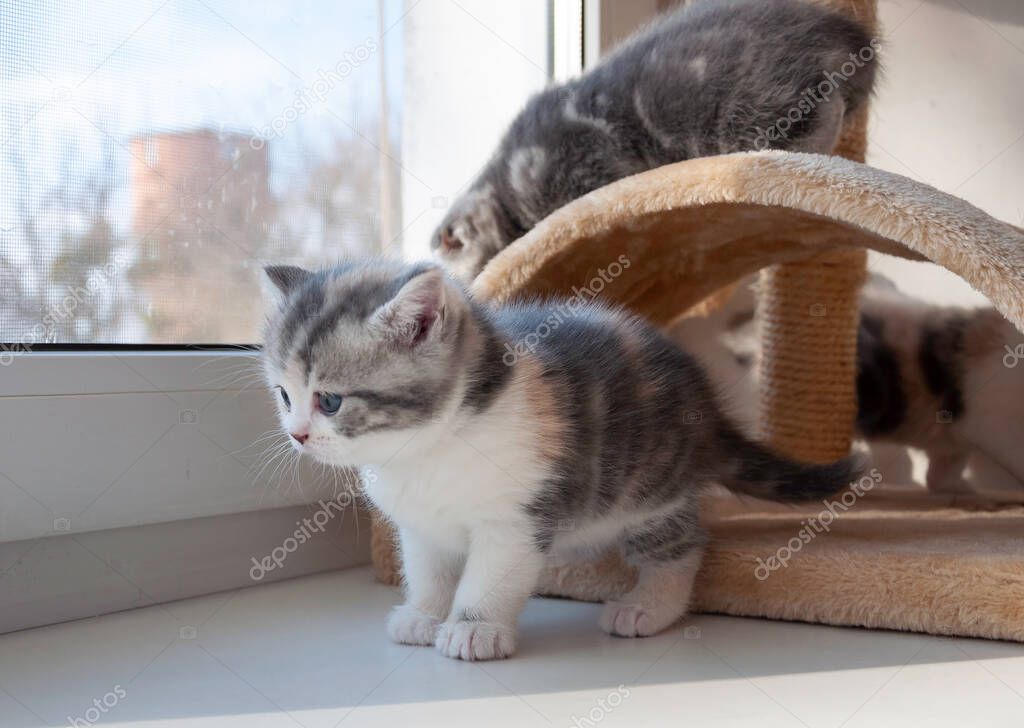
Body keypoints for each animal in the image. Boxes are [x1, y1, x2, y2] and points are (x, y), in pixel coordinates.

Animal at [260, 260, 860, 659]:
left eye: (330, 401)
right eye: (284, 395)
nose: (297, 435)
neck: (429, 447)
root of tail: (706, 403)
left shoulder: (516, 517)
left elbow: (491, 576)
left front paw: (474, 627)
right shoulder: (421, 525)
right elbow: (429, 570)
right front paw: (425, 615)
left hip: (650, 490)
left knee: (684, 545)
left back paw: (649, 606)